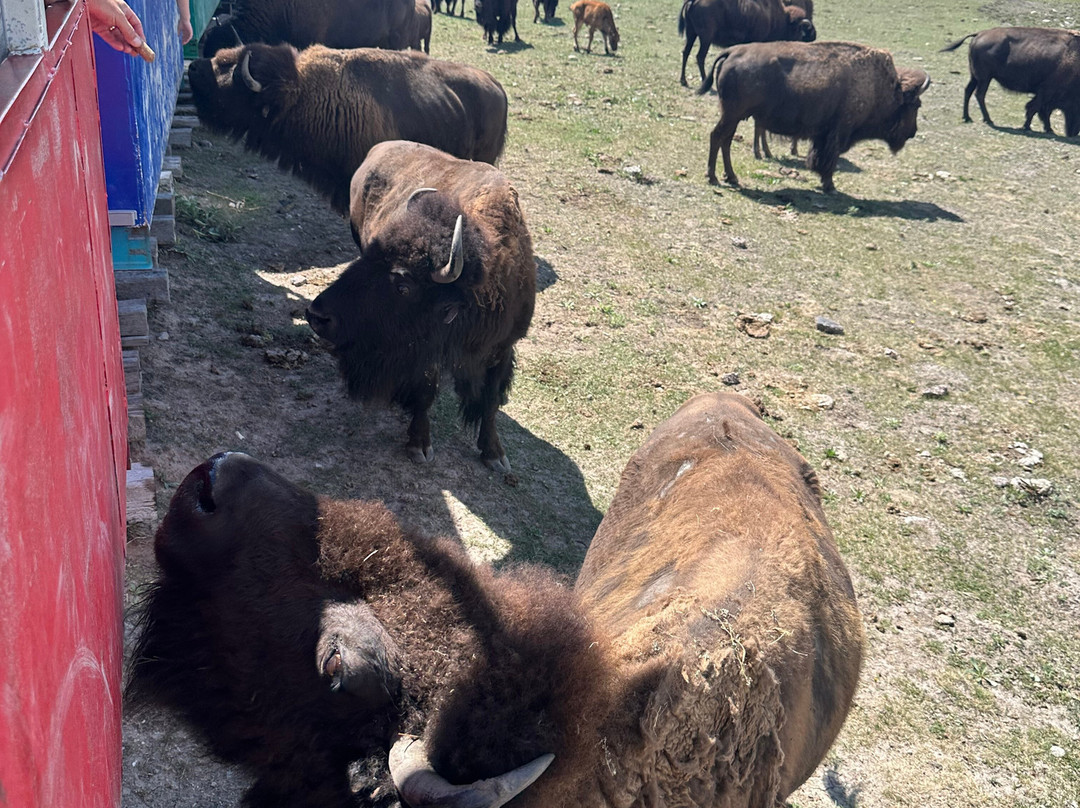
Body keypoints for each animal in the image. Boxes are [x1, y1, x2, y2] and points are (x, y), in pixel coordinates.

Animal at [305, 141, 535, 471]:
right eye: (367, 259)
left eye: (403, 286)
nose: (317, 315)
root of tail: (379, 147)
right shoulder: (426, 356)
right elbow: (425, 394)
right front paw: (420, 446)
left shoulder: (503, 348)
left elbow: (490, 401)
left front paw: (494, 454)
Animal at [679, 0, 816, 87]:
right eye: (800, 33)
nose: (813, 35)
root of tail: (693, 1)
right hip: (705, 38)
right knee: (700, 56)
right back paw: (703, 80)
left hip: (691, 34)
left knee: (686, 52)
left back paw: (684, 81)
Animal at [699, 40, 931, 192]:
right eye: (916, 105)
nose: (913, 132)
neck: (880, 88)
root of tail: (732, 51)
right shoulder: (838, 133)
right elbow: (829, 160)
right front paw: (830, 185)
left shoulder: (824, 134)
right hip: (732, 114)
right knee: (716, 136)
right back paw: (713, 177)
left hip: (734, 116)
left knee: (725, 140)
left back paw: (731, 177)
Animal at [941, 26, 1080, 136]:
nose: (1073, 133)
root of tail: (979, 34)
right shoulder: (1046, 92)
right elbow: (1036, 108)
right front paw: (1028, 126)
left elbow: (1041, 110)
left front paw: (1047, 129)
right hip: (985, 78)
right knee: (979, 94)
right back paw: (988, 120)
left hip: (975, 76)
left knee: (968, 91)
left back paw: (967, 117)